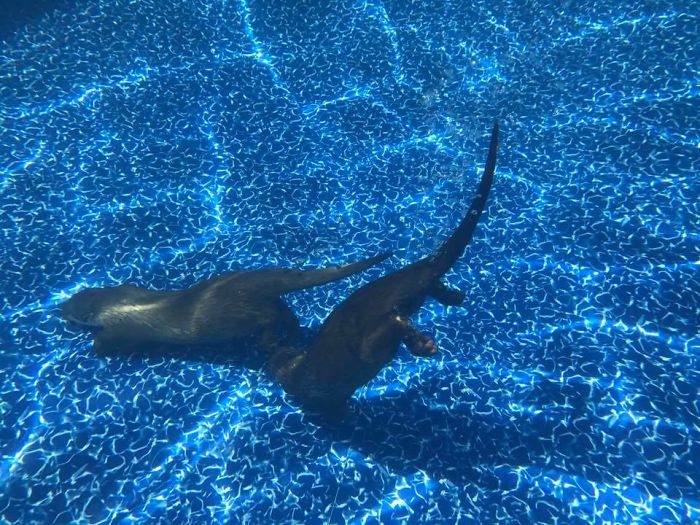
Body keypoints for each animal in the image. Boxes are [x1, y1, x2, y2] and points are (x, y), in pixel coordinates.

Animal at [61, 253, 391, 354]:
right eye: (72, 298)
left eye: (72, 314)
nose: (60, 310)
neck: (121, 303)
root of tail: (256, 282)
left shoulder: (126, 328)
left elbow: (108, 340)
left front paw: (95, 344)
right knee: (285, 311)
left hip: (237, 315)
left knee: (270, 319)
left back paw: (273, 343)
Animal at [270, 123, 499, 418]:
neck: (294, 368)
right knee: (429, 288)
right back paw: (455, 297)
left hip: (369, 340)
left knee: (397, 323)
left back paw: (425, 345)